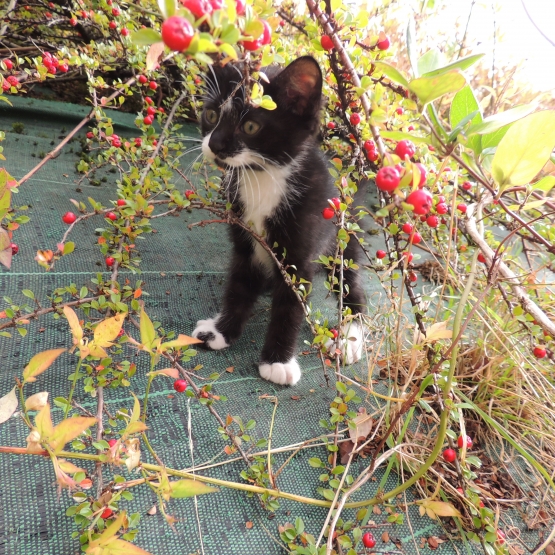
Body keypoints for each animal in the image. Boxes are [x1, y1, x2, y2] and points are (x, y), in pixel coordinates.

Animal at [193, 56, 368, 386]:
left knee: (351, 288)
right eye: (211, 115)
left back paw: (349, 335)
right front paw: (221, 331)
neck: (262, 177)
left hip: (342, 245)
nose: (215, 145)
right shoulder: (244, 239)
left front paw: (277, 361)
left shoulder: (300, 255)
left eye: (250, 126)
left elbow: (289, 307)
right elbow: (238, 286)